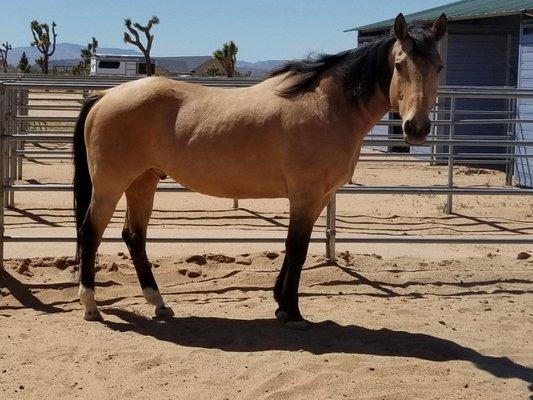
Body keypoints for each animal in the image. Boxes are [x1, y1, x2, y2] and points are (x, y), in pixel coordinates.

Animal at [74, 14, 444, 330]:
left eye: (438, 66)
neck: (328, 105)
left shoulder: (319, 198)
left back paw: (159, 304)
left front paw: (281, 302)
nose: (416, 128)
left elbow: (295, 247)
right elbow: (297, 248)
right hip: (110, 185)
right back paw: (91, 306)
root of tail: (105, 96)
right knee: (91, 232)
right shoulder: (306, 196)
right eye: (399, 65)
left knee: (134, 236)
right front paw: (292, 311)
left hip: (143, 181)